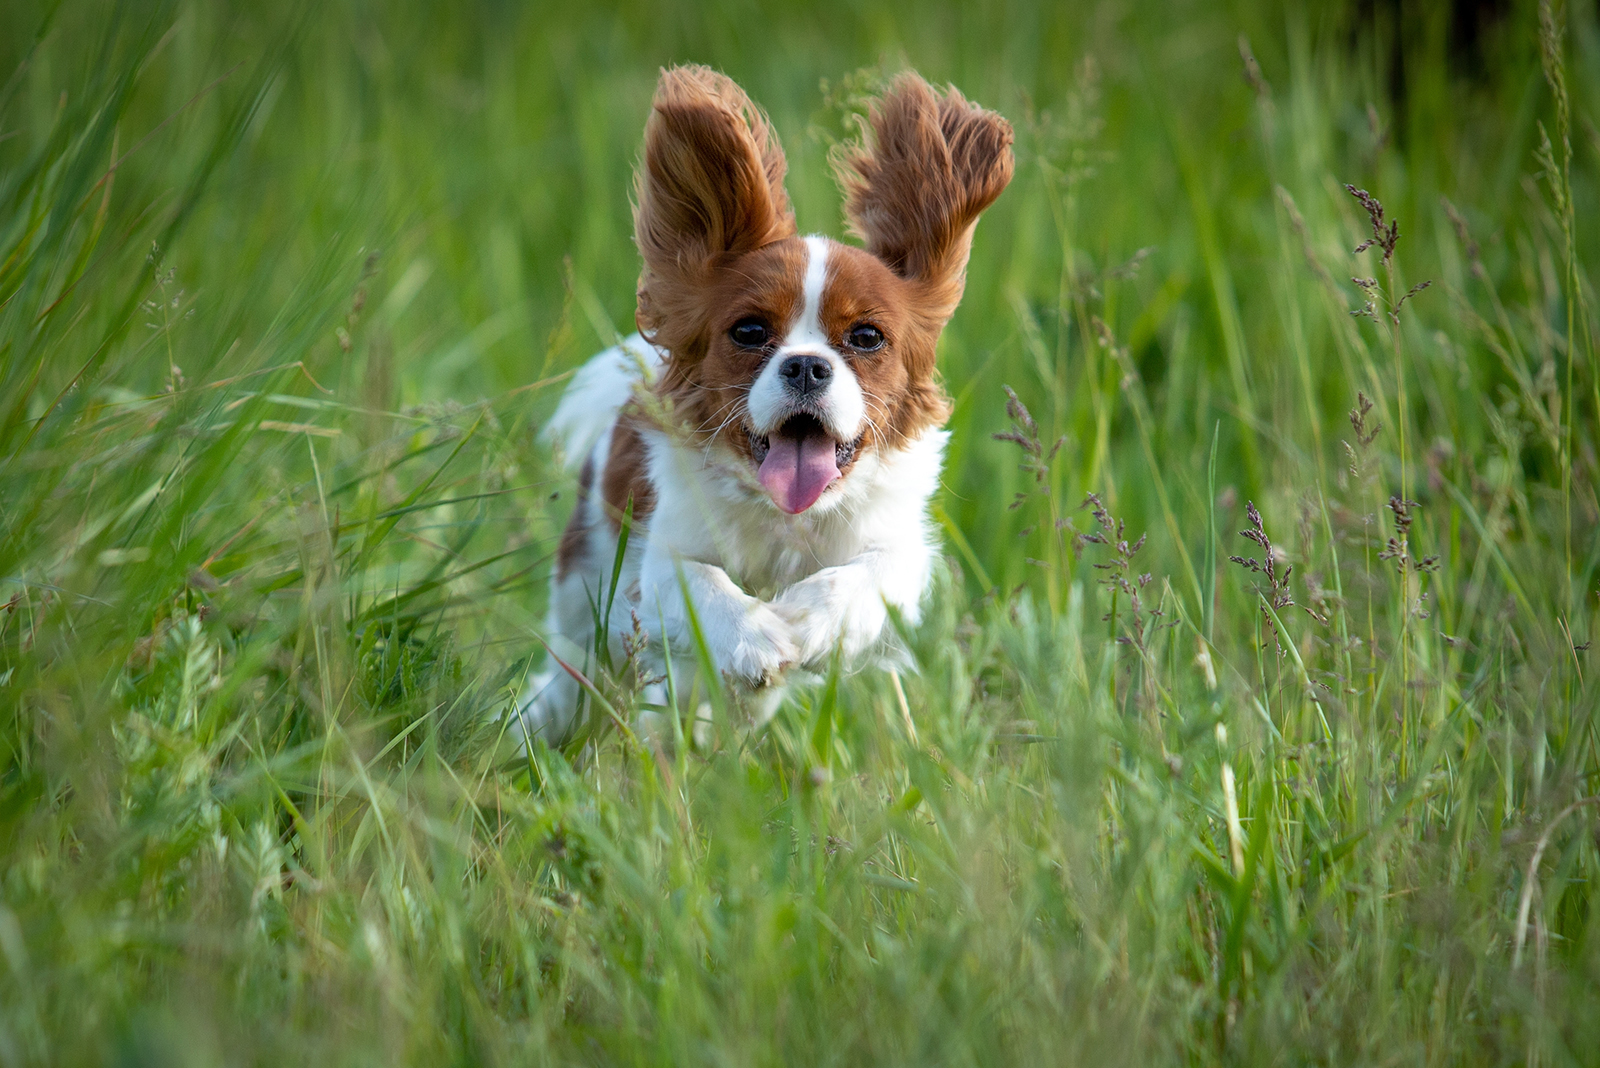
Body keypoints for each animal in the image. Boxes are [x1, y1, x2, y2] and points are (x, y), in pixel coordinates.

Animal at [515, 60, 1011, 741]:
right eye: (750, 331)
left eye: (866, 337)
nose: (805, 365)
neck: (789, 518)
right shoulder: (659, 559)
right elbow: (699, 583)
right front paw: (757, 640)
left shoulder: (900, 550)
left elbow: (869, 577)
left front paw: (808, 621)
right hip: (585, 588)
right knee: (573, 668)